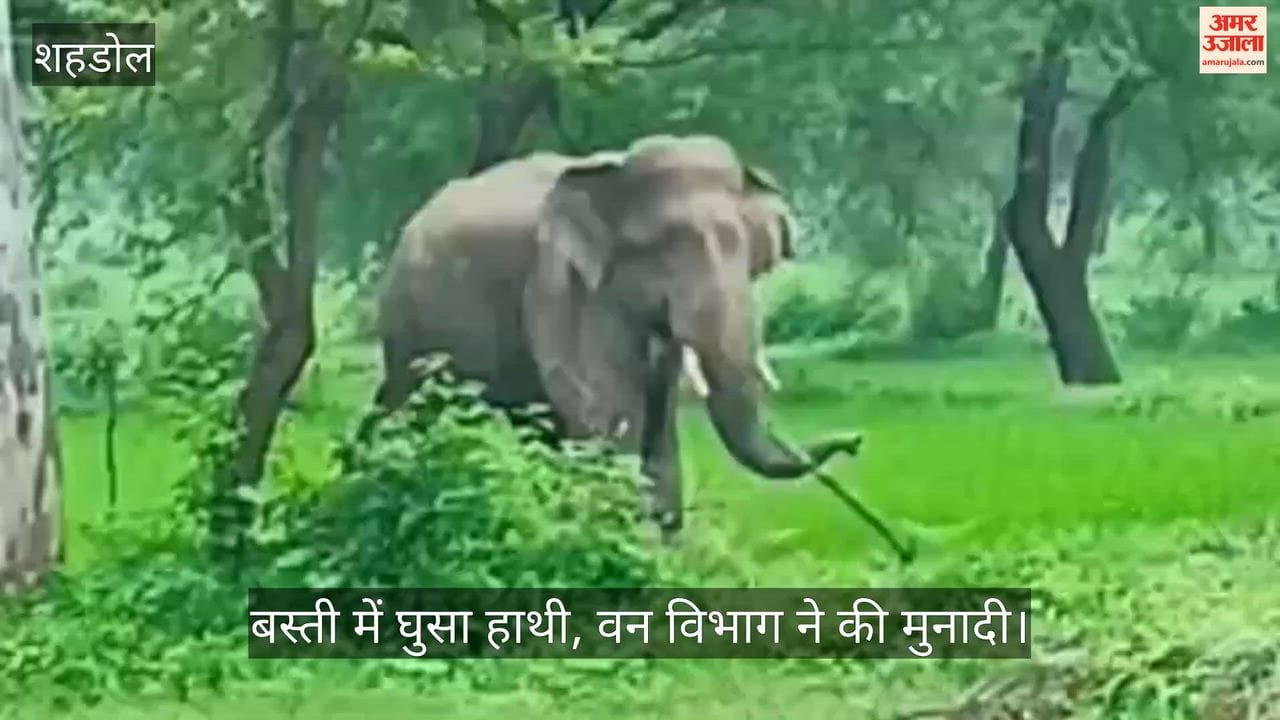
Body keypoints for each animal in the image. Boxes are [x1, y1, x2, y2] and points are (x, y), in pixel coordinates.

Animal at [374, 134, 861, 536]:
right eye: (663, 249)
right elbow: (607, 415)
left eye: (746, 252)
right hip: (408, 328)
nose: (854, 442)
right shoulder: (562, 284)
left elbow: (658, 427)